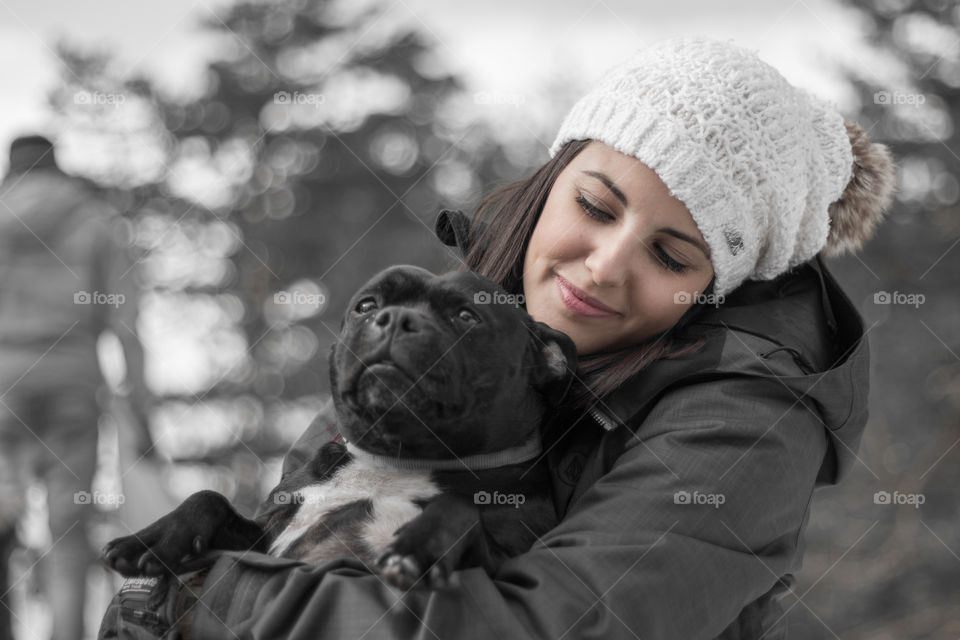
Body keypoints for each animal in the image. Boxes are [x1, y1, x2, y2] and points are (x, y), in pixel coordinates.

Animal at [103, 264, 576, 592]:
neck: (395, 458)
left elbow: (457, 507)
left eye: (466, 315)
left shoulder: (504, 561)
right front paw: (153, 540)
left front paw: (418, 547)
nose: (396, 318)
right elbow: (208, 497)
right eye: (367, 305)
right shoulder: (265, 539)